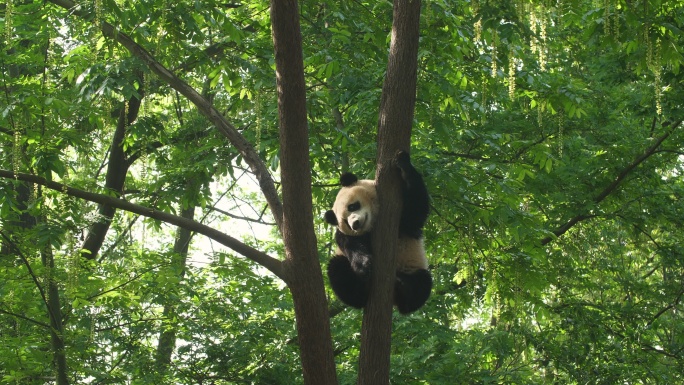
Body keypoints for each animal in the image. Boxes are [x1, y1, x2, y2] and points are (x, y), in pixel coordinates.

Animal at [324, 148, 430, 314]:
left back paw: (403, 287)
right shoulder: (347, 236)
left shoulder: (404, 221)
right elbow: (351, 245)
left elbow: (416, 212)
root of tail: (393, 300)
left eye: (352, 206)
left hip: (414, 266)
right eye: (345, 221)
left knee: (421, 285)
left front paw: (403, 162)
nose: (355, 224)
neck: (372, 226)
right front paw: (364, 266)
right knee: (337, 269)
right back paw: (360, 291)